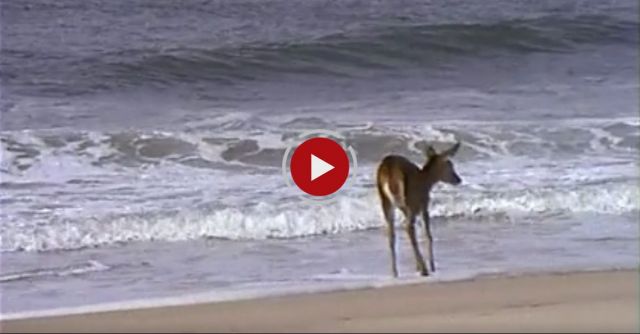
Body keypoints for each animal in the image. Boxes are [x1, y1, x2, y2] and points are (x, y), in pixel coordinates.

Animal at [376, 142, 460, 278]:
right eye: (449, 164)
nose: (458, 179)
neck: (426, 181)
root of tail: (388, 170)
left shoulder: (406, 208)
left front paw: (418, 266)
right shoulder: (424, 203)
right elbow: (428, 234)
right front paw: (432, 266)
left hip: (386, 202)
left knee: (392, 234)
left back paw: (395, 273)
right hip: (410, 201)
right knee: (408, 227)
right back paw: (424, 269)